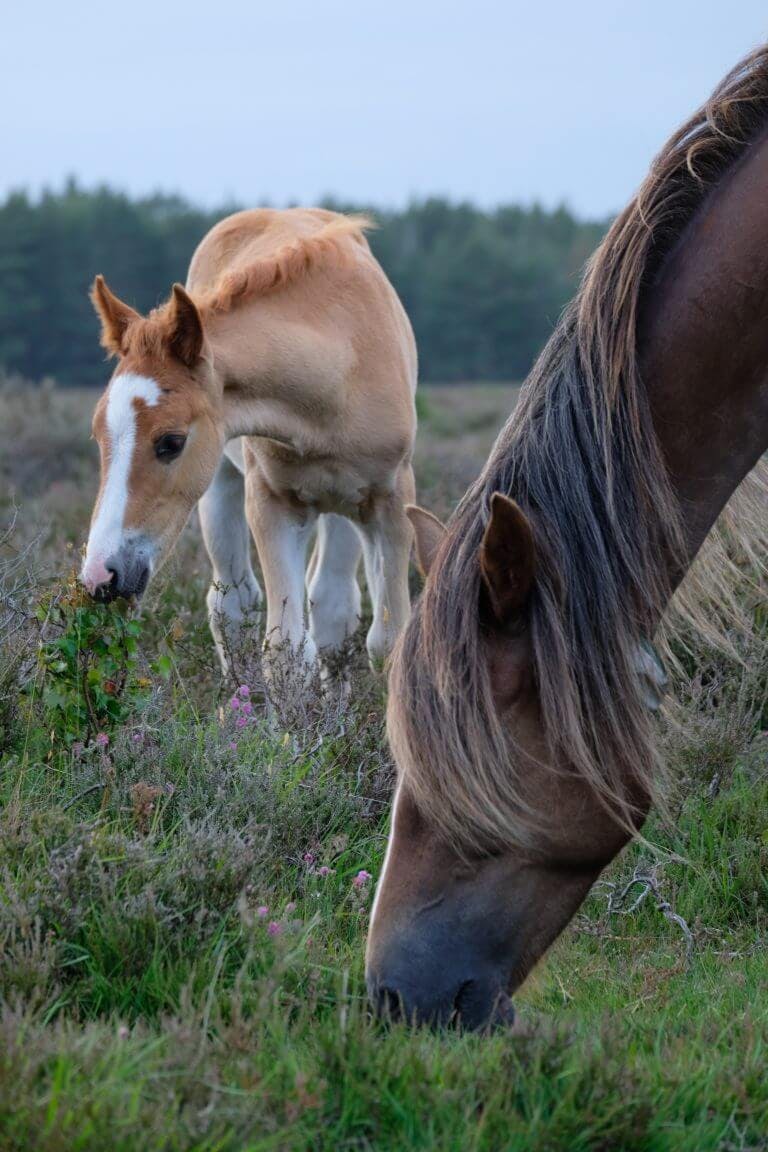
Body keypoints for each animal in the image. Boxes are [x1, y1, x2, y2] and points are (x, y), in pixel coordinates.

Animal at [81, 209, 418, 681]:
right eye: (99, 436)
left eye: (171, 442)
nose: (101, 575)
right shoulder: (273, 505)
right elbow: (285, 650)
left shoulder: (390, 505)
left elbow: (388, 642)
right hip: (223, 485)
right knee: (233, 603)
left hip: (343, 506)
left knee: (332, 604)